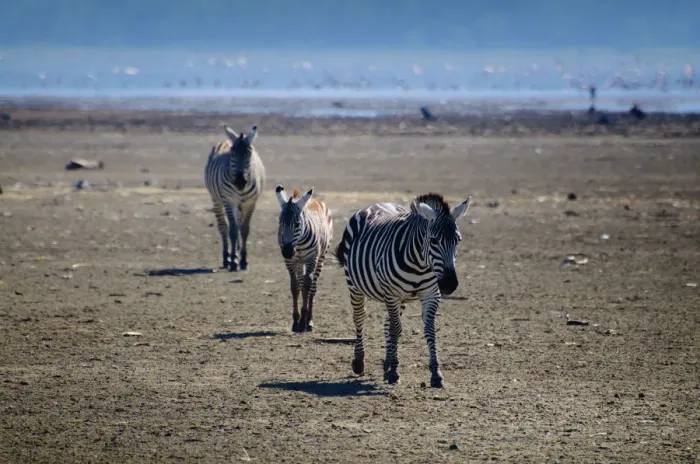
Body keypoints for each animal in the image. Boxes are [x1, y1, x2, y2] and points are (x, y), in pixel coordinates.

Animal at [204, 125, 265, 271]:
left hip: (240, 204)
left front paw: (243, 260)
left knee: (237, 225)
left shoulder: (250, 203)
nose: (240, 181)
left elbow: (244, 229)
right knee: (223, 226)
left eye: (249, 154)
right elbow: (232, 230)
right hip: (217, 200)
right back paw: (227, 258)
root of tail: (227, 139)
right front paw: (233, 261)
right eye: (232, 154)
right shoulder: (229, 201)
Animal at [275, 185, 333, 333]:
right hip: (299, 262)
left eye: (297, 224)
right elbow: (295, 287)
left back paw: (309, 320)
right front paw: (296, 321)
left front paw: (303, 322)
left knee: (312, 287)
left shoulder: (311, 259)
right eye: (280, 223)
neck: (299, 243)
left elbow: (307, 286)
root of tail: (314, 200)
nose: (287, 251)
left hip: (321, 257)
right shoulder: (290, 262)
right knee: (301, 284)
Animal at [334, 193, 472, 388]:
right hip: (355, 285)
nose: (449, 285)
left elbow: (428, 330)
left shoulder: (431, 295)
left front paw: (435, 374)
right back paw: (359, 362)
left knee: (387, 324)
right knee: (360, 318)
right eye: (434, 240)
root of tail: (379, 203)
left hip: (400, 298)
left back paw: (386, 364)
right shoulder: (392, 294)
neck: (420, 264)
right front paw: (394, 372)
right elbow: (395, 329)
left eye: (458, 240)